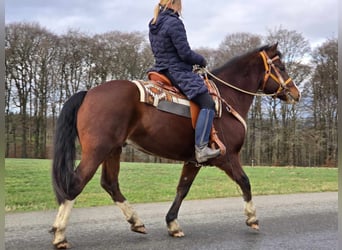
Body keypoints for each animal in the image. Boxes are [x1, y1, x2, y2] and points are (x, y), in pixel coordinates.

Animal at [50, 43, 300, 248]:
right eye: (282, 66)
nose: (296, 93)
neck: (228, 98)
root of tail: (89, 93)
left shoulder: (194, 160)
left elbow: (183, 188)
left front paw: (172, 224)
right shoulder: (227, 157)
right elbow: (245, 182)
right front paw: (252, 217)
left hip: (113, 150)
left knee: (110, 184)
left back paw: (136, 221)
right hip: (98, 150)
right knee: (76, 183)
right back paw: (60, 233)